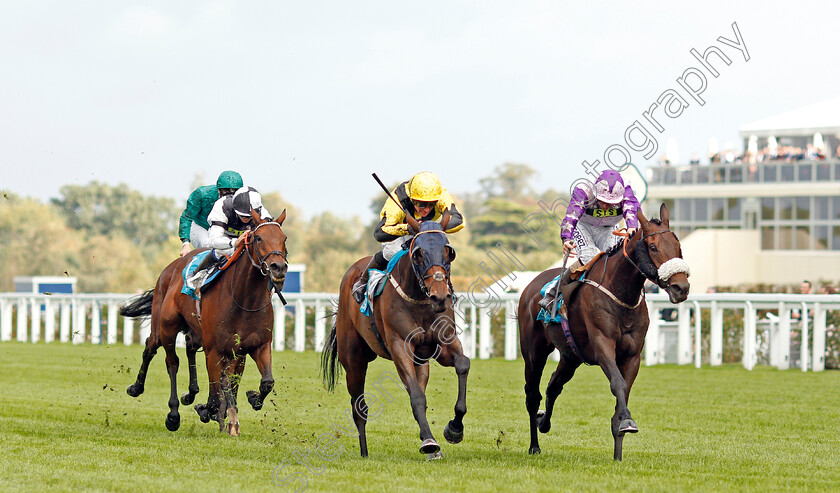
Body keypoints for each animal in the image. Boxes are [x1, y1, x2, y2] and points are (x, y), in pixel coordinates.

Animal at [118, 208, 288, 434]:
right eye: (258, 238)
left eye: (284, 238)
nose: (278, 267)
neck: (245, 300)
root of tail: (171, 268)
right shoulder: (215, 350)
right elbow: (218, 392)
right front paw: (211, 411)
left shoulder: (255, 346)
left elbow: (265, 382)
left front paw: (249, 401)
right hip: (166, 327)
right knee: (164, 356)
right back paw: (160, 405)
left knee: (189, 348)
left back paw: (192, 394)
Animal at [322, 213, 470, 460]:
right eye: (418, 253)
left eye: (449, 251)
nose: (440, 297)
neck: (419, 300)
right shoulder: (400, 345)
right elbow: (417, 397)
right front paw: (429, 442)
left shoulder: (444, 343)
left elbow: (462, 364)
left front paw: (454, 428)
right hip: (353, 360)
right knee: (359, 407)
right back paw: (364, 451)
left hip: (421, 362)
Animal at [520, 202, 688, 460]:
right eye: (653, 247)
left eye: (678, 247)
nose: (681, 287)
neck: (621, 294)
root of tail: (531, 284)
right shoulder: (603, 345)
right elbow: (617, 384)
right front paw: (627, 422)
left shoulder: (632, 355)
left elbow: (624, 392)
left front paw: (619, 449)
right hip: (533, 353)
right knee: (532, 395)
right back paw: (534, 445)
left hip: (570, 356)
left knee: (553, 386)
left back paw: (543, 422)